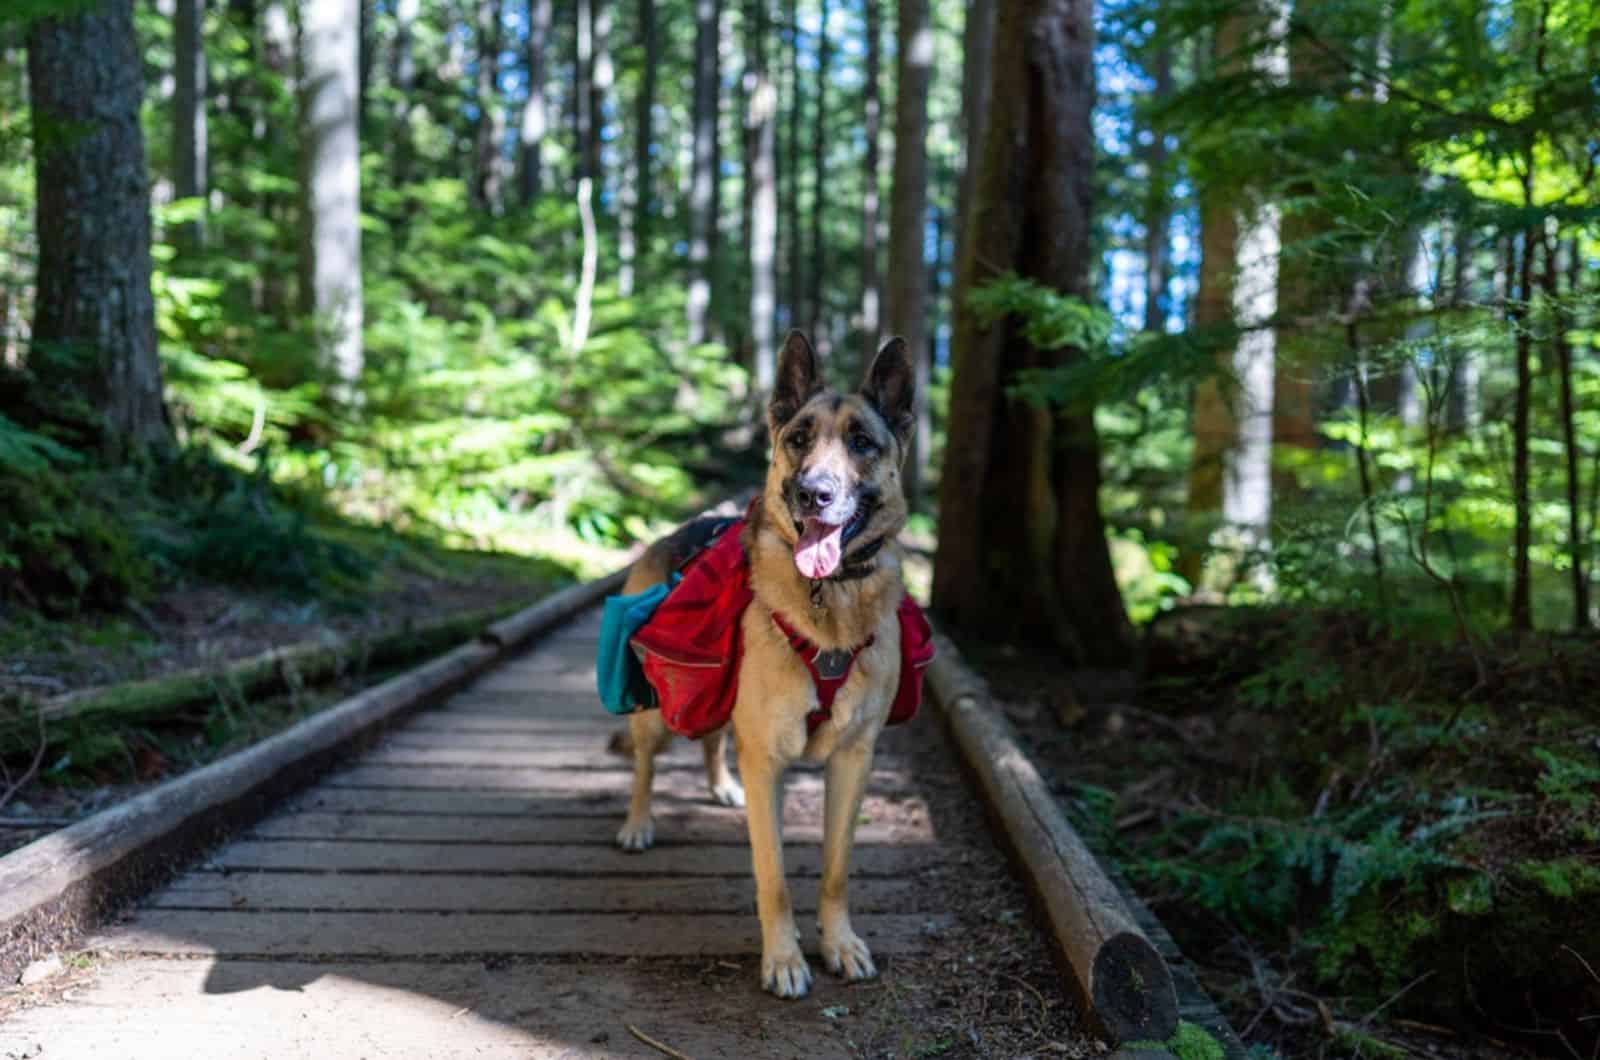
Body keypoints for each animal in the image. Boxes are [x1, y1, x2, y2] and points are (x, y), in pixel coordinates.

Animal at [611, 329, 915, 999]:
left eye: (862, 441)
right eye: (798, 438)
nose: (813, 494)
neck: (829, 601)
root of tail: (678, 530)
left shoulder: (854, 759)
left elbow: (835, 871)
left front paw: (839, 943)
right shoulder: (768, 760)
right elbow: (773, 877)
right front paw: (784, 959)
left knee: (712, 739)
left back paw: (720, 785)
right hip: (656, 713)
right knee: (646, 764)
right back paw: (639, 824)